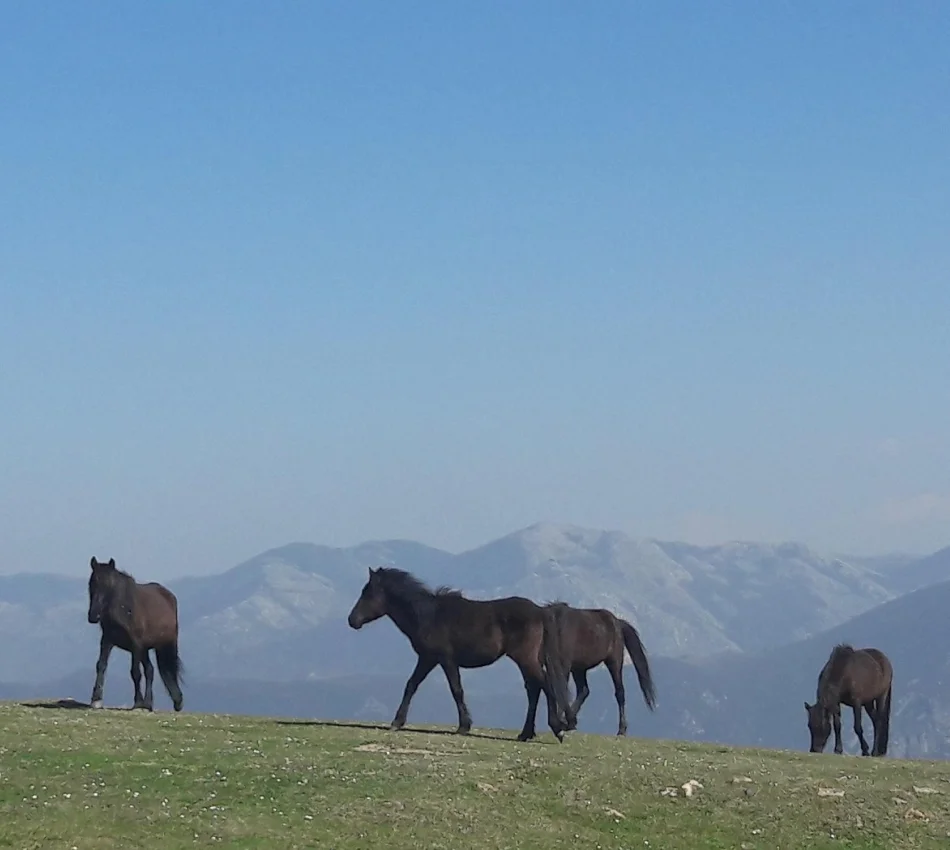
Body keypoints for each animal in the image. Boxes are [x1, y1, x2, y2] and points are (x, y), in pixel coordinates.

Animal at [87, 557, 184, 712]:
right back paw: (150, 703)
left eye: (108, 585)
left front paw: (138, 702)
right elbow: (101, 665)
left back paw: (166, 701)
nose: (93, 615)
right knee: (150, 670)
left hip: (163, 645)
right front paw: (96, 699)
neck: (124, 609)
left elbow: (135, 672)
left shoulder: (136, 645)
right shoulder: (107, 640)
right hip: (145, 650)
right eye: (91, 583)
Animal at [347, 566, 573, 742]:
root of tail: (540, 611)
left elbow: (456, 690)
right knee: (534, 689)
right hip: (527, 660)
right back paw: (526, 733)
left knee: (544, 685)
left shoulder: (445, 660)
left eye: (368, 593)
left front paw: (464, 726)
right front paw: (398, 721)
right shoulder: (428, 659)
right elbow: (411, 685)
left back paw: (558, 728)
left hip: (525, 659)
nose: (352, 620)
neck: (428, 616)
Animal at [544, 602, 656, 735]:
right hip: (579, 668)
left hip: (614, 662)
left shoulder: (563, 665)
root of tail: (617, 622)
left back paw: (621, 730)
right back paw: (570, 722)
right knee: (584, 691)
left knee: (619, 692)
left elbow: (561, 690)